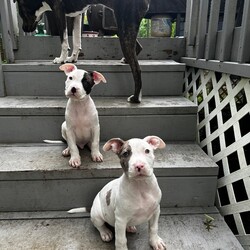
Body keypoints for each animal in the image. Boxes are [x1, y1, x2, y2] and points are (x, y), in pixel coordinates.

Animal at [14, 0, 151, 102]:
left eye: (20, 12)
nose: (24, 28)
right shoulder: (77, 15)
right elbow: (76, 39)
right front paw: (72, 58)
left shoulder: (58, 10)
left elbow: (64, 39)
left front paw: (62, 59)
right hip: (120, 26)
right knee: (138, 48)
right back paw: (125, 60)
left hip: (124, 27)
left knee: (137, 68)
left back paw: (136, 98)